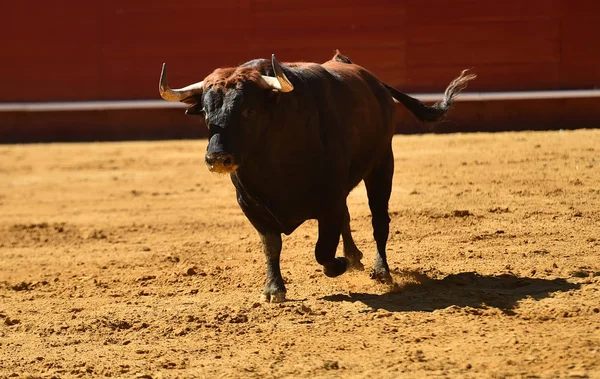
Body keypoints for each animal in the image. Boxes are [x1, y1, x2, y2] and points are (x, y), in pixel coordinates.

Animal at [157, 52, 476, 304]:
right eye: (205, 112)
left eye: (249, 110)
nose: (217, 158)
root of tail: (374, 82)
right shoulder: (251, 206)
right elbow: (271, 245)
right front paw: (273, 290)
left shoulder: (329, 202)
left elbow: (323, 250)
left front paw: (337, 264)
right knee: (349, 217)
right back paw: (355, 256)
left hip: (383, 163)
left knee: (379, 220)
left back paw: (380, 270)